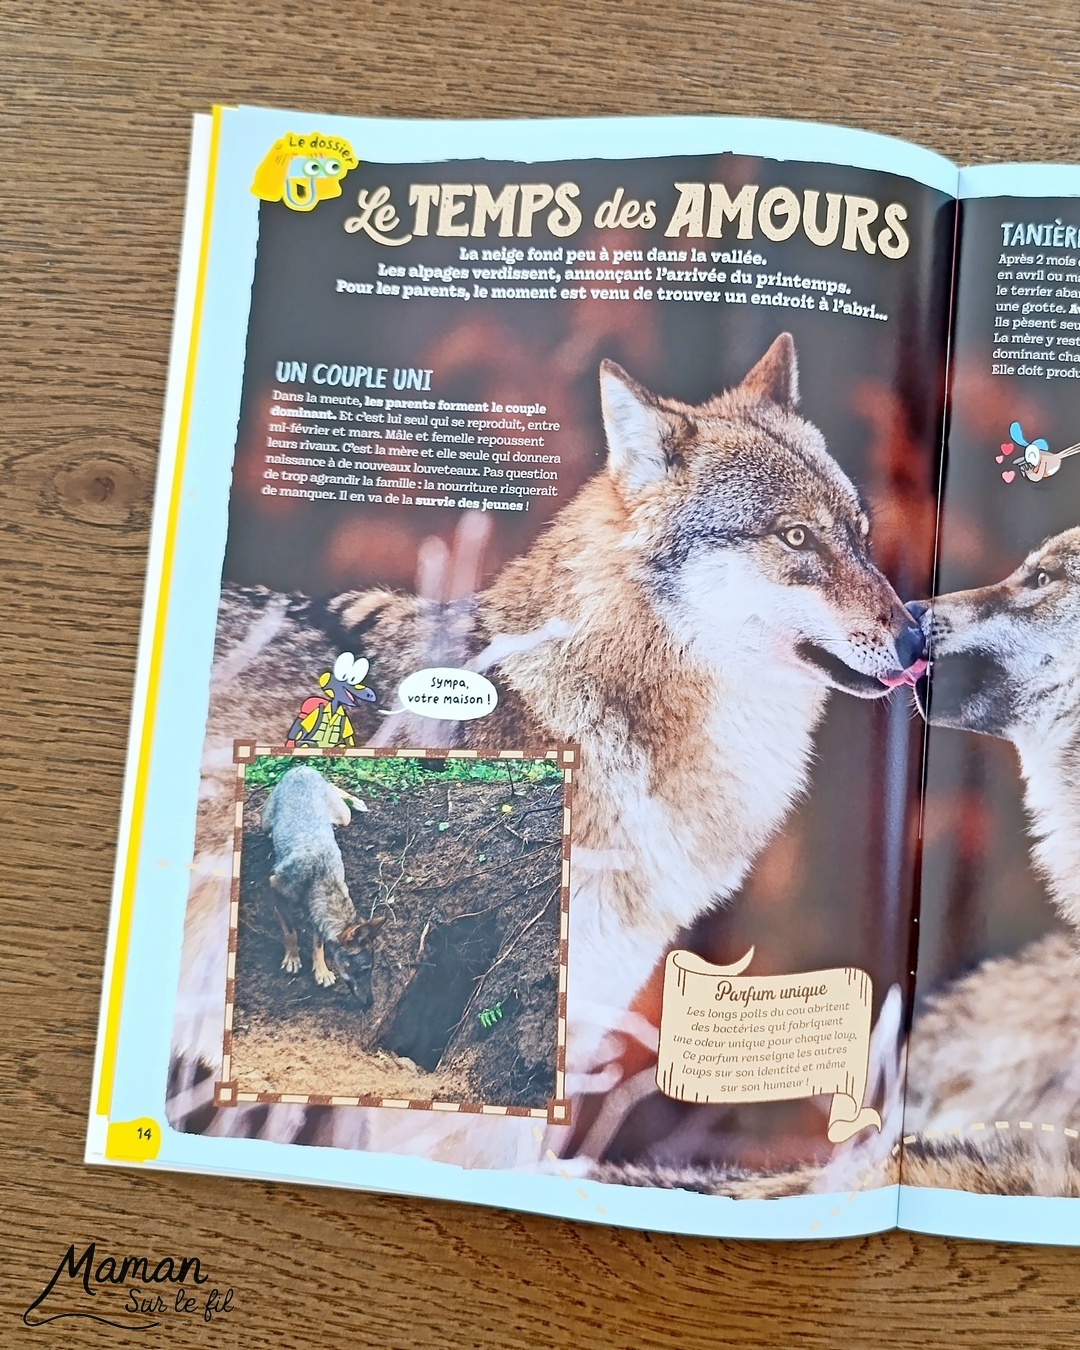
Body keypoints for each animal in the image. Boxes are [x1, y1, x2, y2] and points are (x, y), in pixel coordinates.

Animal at [261, 764, 386, 1005]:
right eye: (364, 970)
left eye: (372, 969)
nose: (370, 1004)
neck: (319, 876)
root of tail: (301, 768)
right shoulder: (275, 888)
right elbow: (290, 931)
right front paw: (292, 958)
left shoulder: (317, 915)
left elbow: (317, 944)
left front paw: (321, 970)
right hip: (264, 821)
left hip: (343, 817)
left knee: (334, 788)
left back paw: (354, 799)